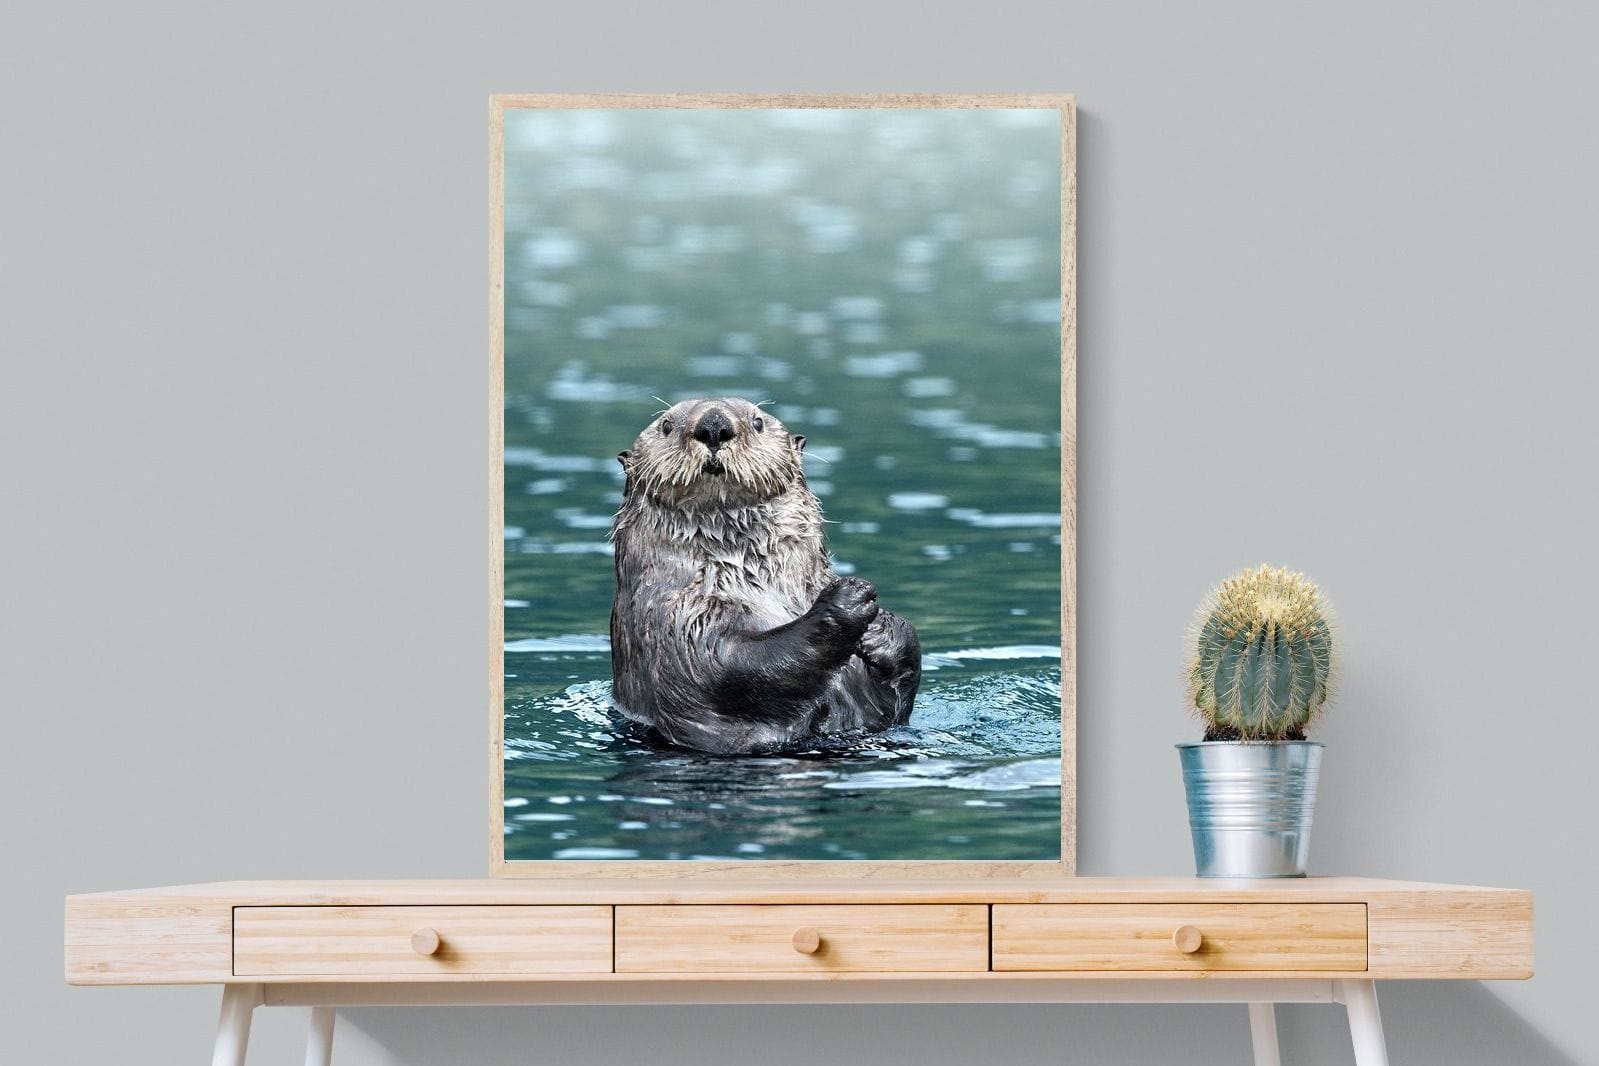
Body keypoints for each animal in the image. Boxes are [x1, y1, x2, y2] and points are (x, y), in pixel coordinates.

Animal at [609, 397, 921, 754]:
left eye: (757, 422)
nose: (714, 425)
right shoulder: (676, 621)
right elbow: (731, 666)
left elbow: (892, 706)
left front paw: (882, 627)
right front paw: (847, 598)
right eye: (666, 425)